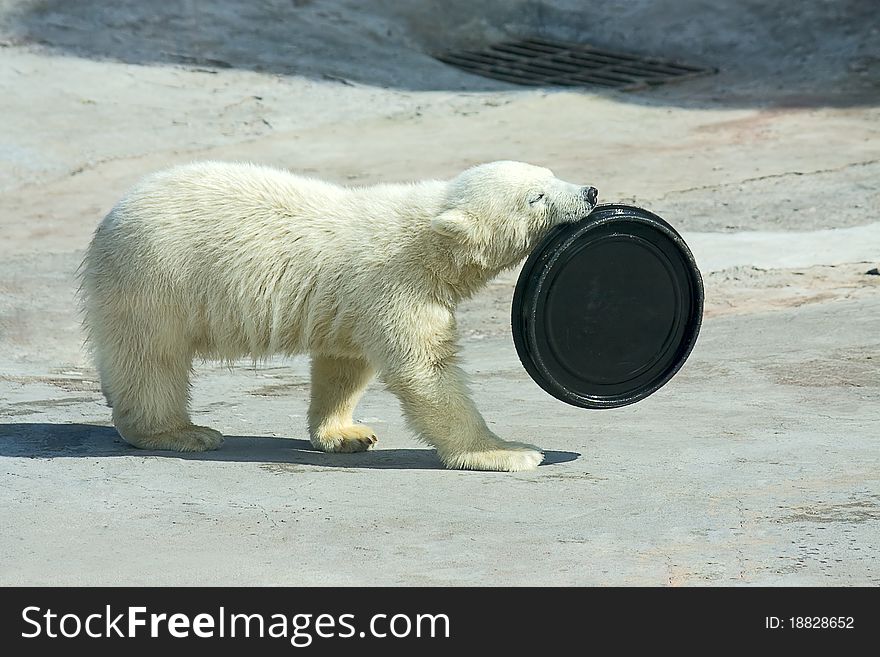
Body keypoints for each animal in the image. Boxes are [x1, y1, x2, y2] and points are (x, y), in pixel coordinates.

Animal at [81, 163, 600, 472]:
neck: (427, 235)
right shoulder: (395, 283)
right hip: (157, 282)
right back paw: (180, 432)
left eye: (549, 173)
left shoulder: (350, 302)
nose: (591, 191)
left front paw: (346, 433)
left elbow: (344, 361)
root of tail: (109, 220)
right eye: (535, 197)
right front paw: (507, 451)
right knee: (152, 361)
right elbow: (426, 371)